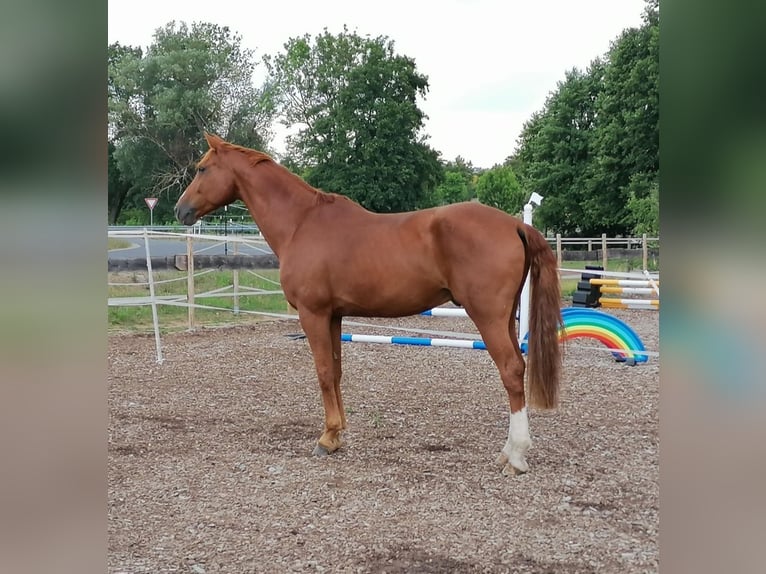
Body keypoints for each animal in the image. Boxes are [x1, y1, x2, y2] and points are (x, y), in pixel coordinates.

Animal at [175, 133, 563, 475]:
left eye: (202, 169)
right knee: (518, 368)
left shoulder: (313, 314)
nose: (180, 210)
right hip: (505, 318)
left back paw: (515, 457)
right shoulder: (333, 316)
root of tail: (514, 224)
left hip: (487, 317)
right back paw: (507, 452)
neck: (301, 223)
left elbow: (323, 372)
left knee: (511, 370)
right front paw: (337, 434)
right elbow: (336, 371)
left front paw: (326, 438)